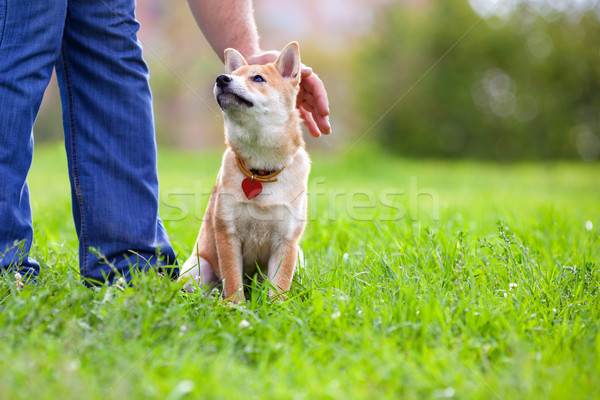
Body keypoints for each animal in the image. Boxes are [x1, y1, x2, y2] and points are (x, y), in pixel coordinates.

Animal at [178, 41, 310, 304]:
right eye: (233, 74)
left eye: (257, 78)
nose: (221, 78)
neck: (260, 170)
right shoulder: (227, 234)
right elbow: (232, 281)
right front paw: (235, 308)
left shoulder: (287, 241)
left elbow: (279, 286)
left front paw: (276, 309)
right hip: (197, 269)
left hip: (299, 258)